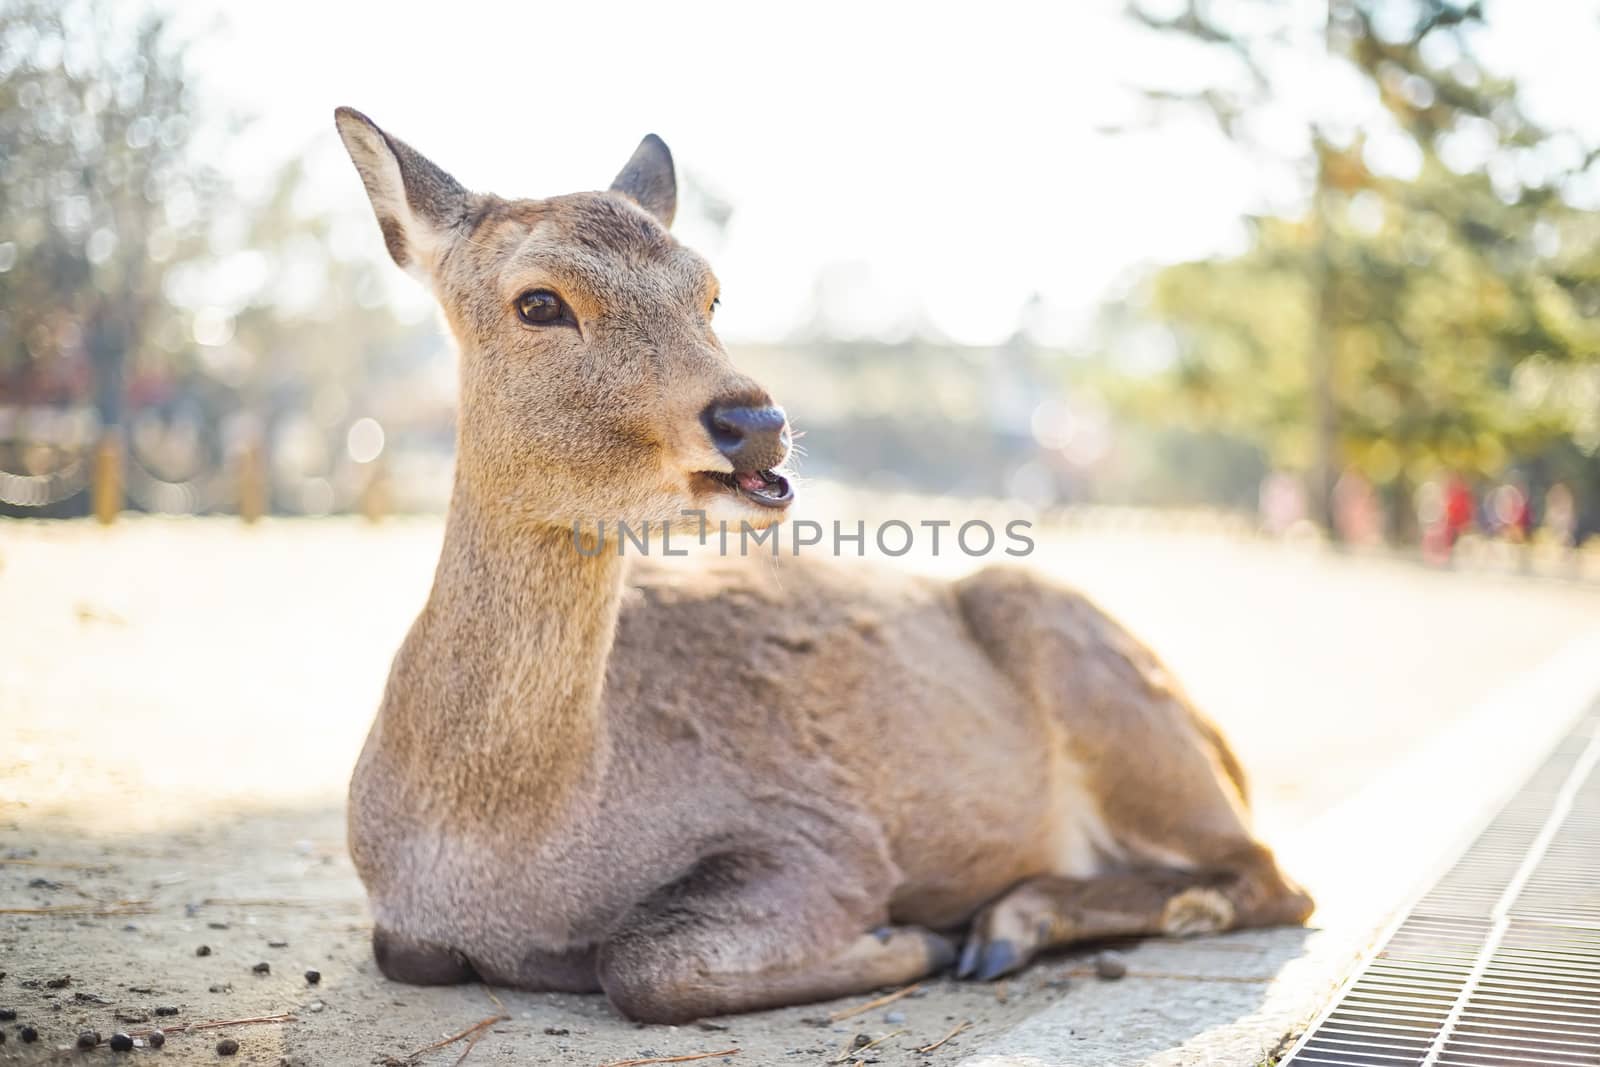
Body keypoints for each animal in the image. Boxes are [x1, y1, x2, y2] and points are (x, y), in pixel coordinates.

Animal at [334, 108, 1312, 1023]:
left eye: (711, 292)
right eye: (538, 301)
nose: (755, 422)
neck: (503, 850)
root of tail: (1228, 754)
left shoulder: (824, 837)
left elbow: (641, 962)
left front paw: (905, 937)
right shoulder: (403, 924)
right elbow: (410, 953)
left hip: (1098, 676)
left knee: (1276, 877)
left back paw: (1004, 925)